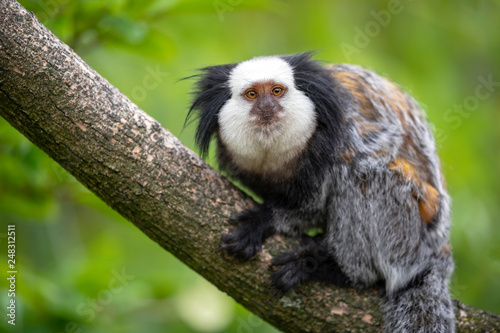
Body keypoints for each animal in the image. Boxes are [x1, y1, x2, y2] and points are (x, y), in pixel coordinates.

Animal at [186, 53, 456, 330]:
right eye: (252, 94)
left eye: (277, 91)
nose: (267, 107)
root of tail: (439, 248)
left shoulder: (345, 136)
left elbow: (314, 206)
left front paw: (262, 220)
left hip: (410, 237)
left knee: (366, 176)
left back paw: (332, 268)